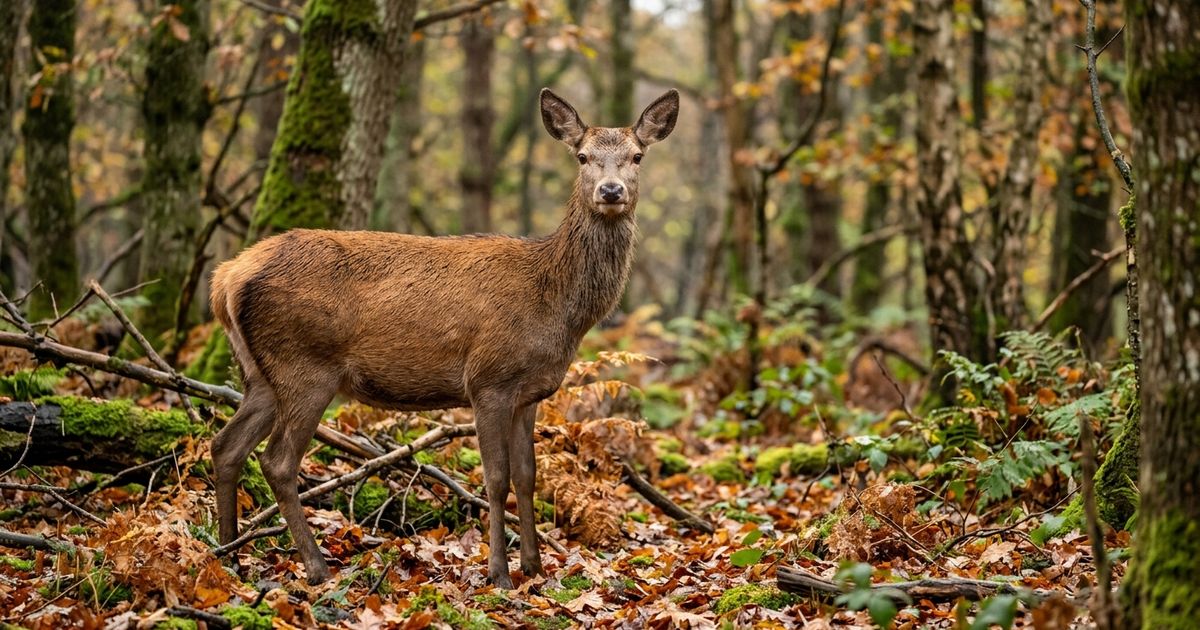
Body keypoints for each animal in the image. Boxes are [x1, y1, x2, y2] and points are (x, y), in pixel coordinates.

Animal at [208, 88, 679, 587]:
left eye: (637, 156)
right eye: (582, 156)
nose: (611, 191)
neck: (554, 302)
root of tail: (226, 278)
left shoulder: (529, 393)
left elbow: (528, 475)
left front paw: (533, 566)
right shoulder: (488, 380)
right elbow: (496, 478)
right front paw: (499, 574)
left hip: (261, 373)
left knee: (226, 446)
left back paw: (229, 555)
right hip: (305, 365)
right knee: (277, 460)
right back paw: (315, 566)